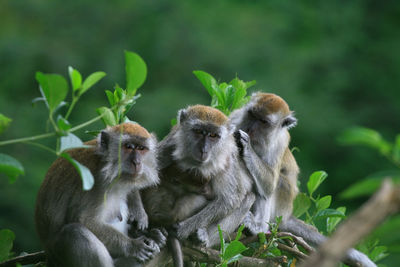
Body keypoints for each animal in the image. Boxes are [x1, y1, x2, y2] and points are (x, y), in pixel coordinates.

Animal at [34, 123, 166, 267]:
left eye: (141, 148)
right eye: (128, 146)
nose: (137, 162)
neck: (106, 163)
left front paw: (140, 219)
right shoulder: (95, 181)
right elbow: (85, 220)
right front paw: (133, 246)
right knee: (73, 232)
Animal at [143, 105, 256, 266]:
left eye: (213, 135)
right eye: (198, 132)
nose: (204, 149)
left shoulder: (228, 159)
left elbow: (230, 199)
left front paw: (182, 229)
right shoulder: (171, 144)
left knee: (247, 198)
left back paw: (203, 237)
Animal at [230, 92, 376, 267]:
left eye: (263, 122)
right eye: (252, 115)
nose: (250, 129)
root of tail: (286, 215)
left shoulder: (279, 143)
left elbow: (269, 184)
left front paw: (247, 146)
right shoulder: (235, 118)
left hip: (281, 207)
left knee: (277, 184)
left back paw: (258, 227)